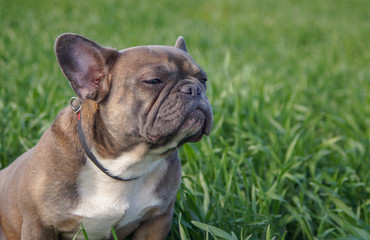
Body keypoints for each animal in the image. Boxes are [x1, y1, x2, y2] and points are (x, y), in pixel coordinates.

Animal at [0, 34, 212, 240]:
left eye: (203, 80)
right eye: (153, 81)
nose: (194, 89)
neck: (122, 165)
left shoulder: (156, 221)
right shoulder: (38, 226)